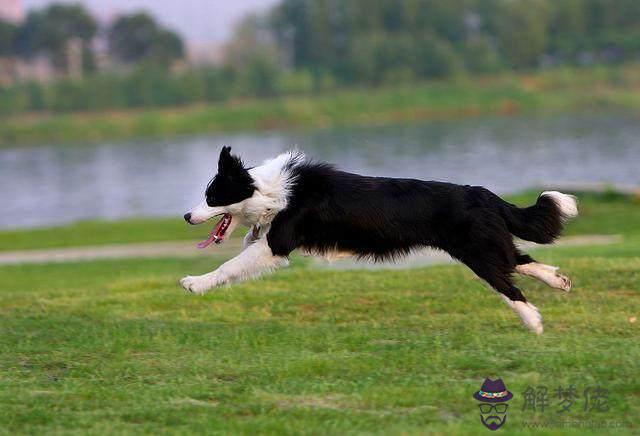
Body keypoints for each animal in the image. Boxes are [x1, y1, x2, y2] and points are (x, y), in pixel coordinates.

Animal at [179, 146, 576, 334]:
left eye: (211, 197)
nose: (185, 216)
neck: (268, 190)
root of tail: (483, 193)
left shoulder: (277, 243)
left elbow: (230, 265)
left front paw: (194, 283)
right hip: (487, 245)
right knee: (520, 261)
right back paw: (558, 281)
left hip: (478, 252)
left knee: (510, 285)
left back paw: (533, 323)